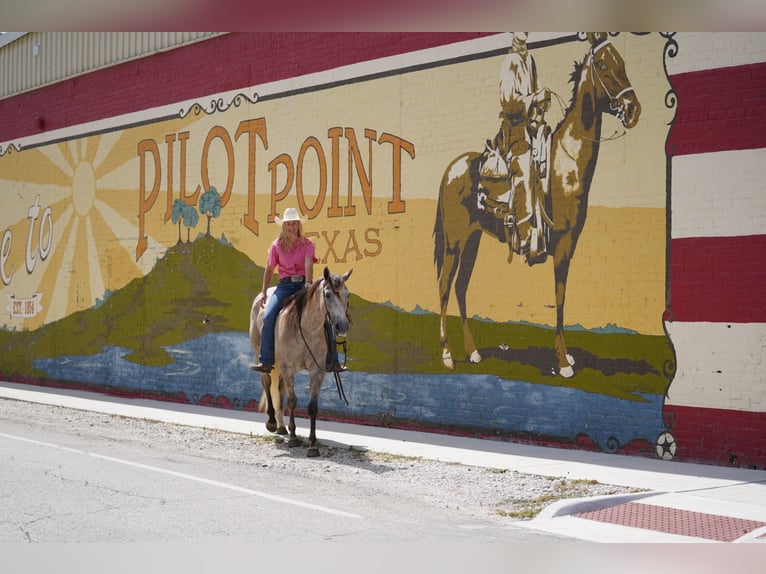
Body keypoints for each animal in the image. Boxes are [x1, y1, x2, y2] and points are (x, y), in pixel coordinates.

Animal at [250, 266, 356, 460]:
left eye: (348, 294)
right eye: (328, 294)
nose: (341, 326)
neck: (307, 329)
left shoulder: (317, 371)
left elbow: (312, 407)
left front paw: (313, 445)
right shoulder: (289, 368)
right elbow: (293, 401)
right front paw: (293, 438)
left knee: (280, 388)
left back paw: (281, 426)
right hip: (262, 354)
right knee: (266, 381)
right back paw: (272, 422)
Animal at [436, 33, 644, 380]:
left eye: (623, 62)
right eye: (603, 64)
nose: (633, 109)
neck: (565, 163)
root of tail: (452, 168)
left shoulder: (571, 243)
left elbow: (562, 297)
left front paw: (566, 357)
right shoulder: (562, 244)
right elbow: (558, 298)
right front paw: (563, 363)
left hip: (472, 240)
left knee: (461, 287)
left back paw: (473, 352)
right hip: (454, 241)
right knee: (443, 286)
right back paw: (448, 355)